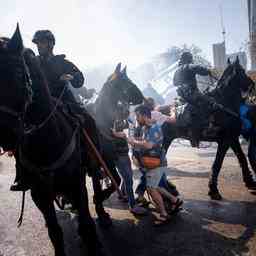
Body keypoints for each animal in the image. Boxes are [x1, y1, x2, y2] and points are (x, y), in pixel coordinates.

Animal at [0, 26, 106, 256]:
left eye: (19, 72)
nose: (5, 134)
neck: (47, 142)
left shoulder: (76, 184)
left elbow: (87, 225)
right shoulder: (39, 194)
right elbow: (55, 231)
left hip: (93, 163)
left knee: (96, 183)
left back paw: (103, 215)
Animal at [162, 58, 256, 200]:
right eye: (242, 71)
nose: (252, 84)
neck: (224, 104)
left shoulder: (233, 139)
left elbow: (242, 158)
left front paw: (249, 181)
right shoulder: (224, 141)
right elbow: (217, 164)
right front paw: (213, 190)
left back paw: (169, 188)